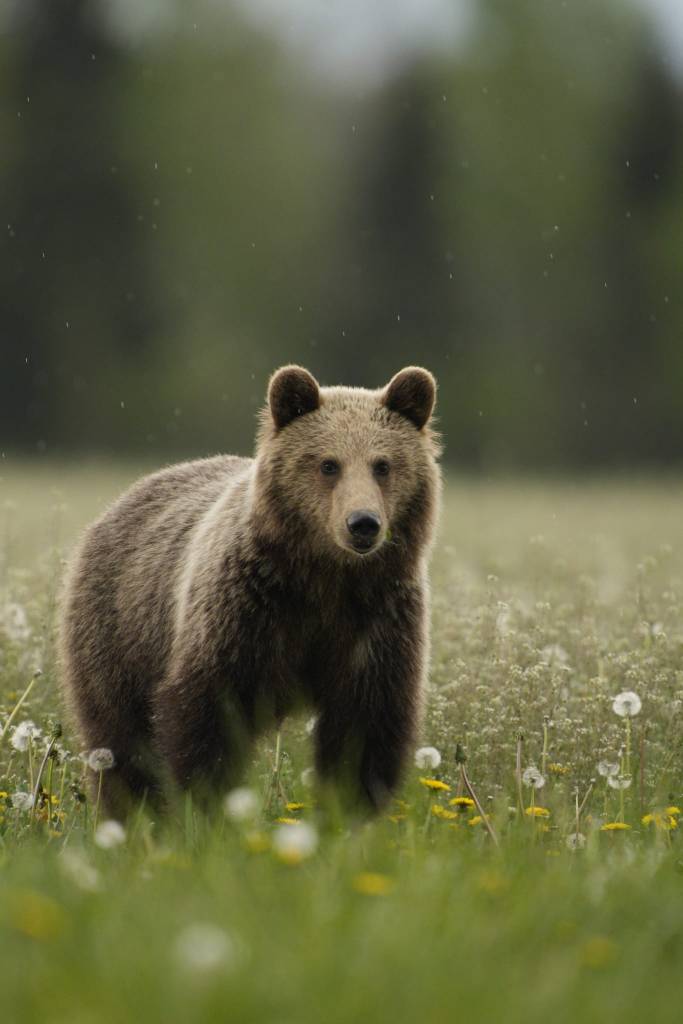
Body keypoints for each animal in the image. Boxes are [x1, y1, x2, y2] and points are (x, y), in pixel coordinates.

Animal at [58, 365, 441, 818]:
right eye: (328, 464)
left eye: (383, 465)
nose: (363, 523)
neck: (324, 578)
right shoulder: (247, 613)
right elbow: (206, 716)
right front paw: (201, 809)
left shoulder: (374, 622)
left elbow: (364, 728)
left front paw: (349, 810)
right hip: (121, 629)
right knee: (119, 737)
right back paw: (132, 814)